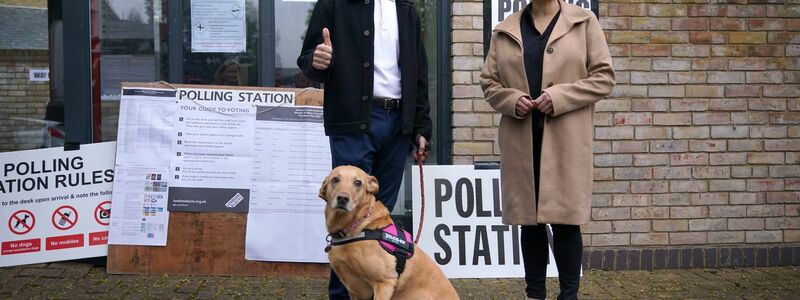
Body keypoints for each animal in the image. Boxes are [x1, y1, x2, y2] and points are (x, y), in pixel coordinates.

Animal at [318, 165, 456, 298]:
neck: (358, 227)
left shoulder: (385, 282)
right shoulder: (354, 291)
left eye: (358, 182)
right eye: (335, 179)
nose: (342, 198)